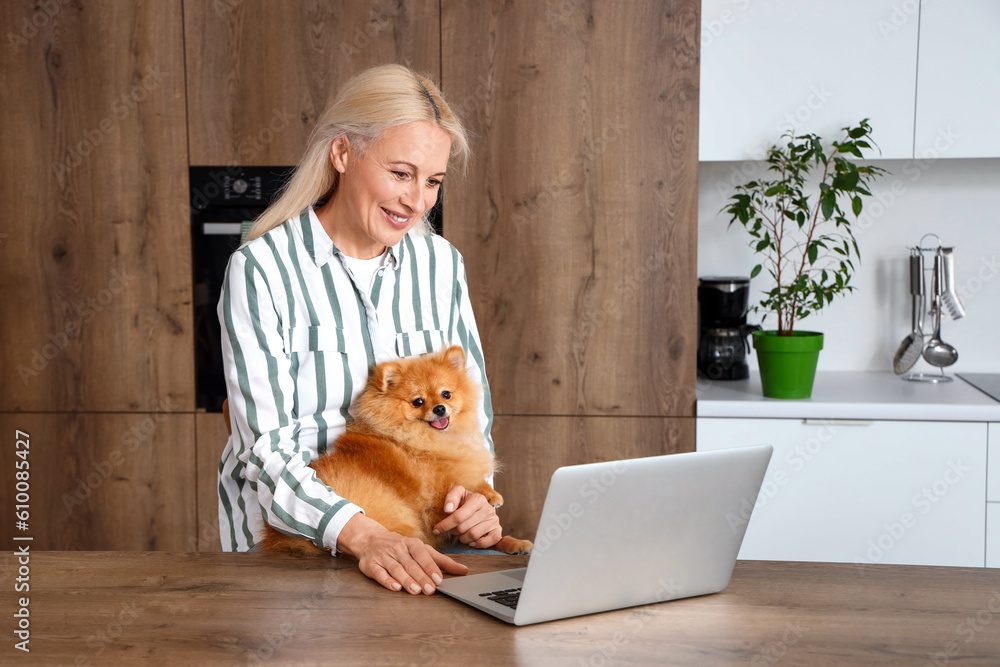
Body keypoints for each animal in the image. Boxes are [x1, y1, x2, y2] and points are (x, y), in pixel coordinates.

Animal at [262, 348, 536, 556]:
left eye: (446, 394)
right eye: (418, 401)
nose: (439, 408)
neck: (424, 440)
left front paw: (511, 537)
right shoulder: (436, 504)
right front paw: (488, 494)